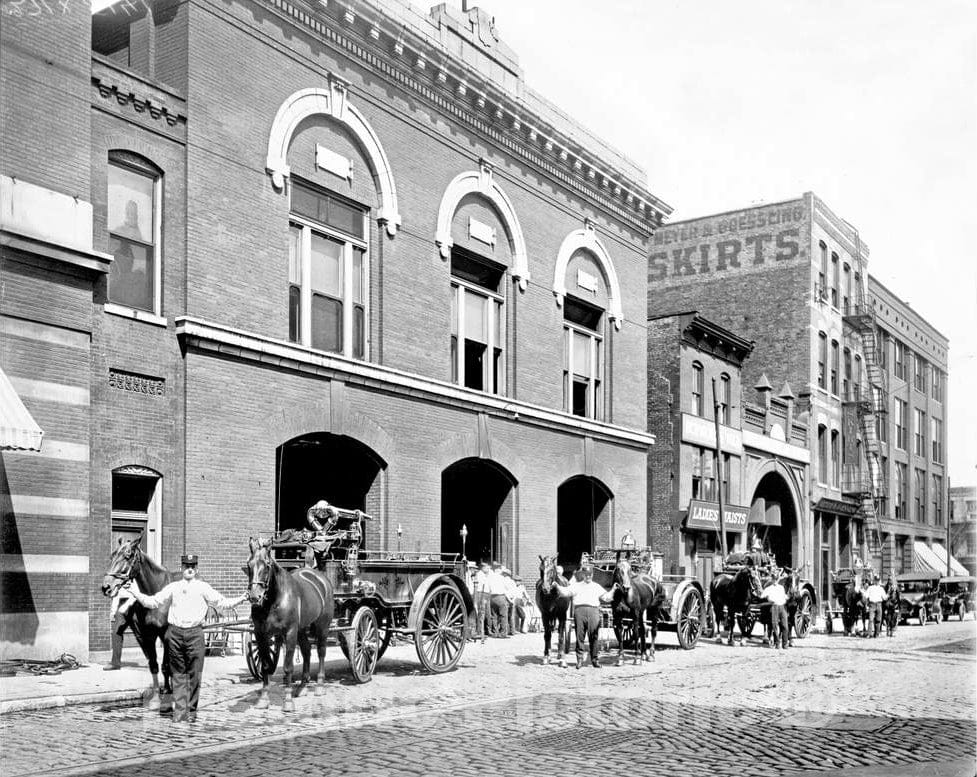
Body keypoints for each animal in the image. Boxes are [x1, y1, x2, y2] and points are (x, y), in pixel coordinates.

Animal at [100, 532, 175, 708]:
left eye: (127, 556)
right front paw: (156, 697)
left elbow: (166, 666)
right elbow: (154, 665)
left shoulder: (166, 634)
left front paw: (169, 695)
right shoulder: (147, 635)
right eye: (112, 555)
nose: (106, 587)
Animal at [244, 540, 336, 708]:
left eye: (267, 564)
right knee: (307, 650)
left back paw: (319, 686)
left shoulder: (290, 632)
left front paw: (287, 702)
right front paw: (263, 699)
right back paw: (302, 687)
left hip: (322, 626)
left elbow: (288, 667)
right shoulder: (261, 634)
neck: (275, 600)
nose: (254, 596)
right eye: (249, 564)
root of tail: (321, 579)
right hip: (302, 629)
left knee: (321, 652)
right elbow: (265, 665)